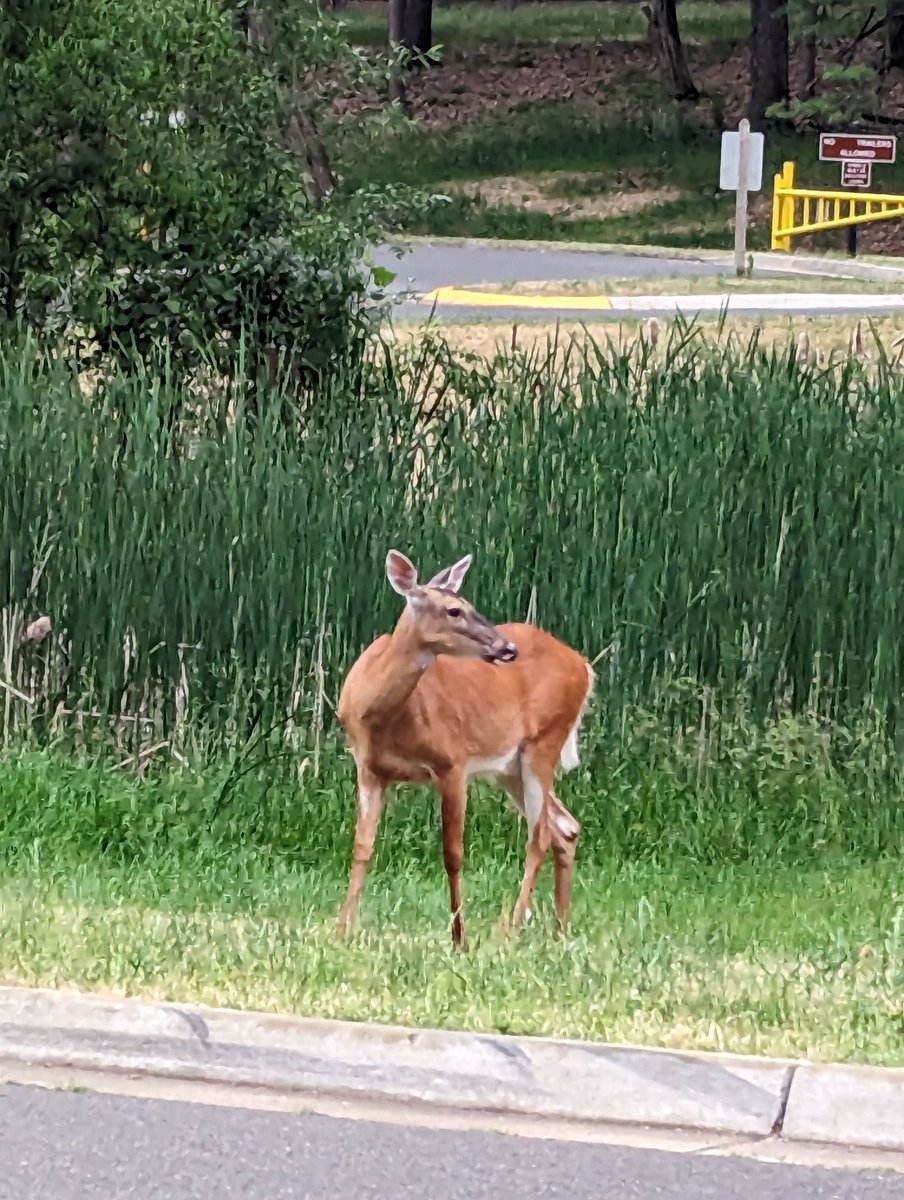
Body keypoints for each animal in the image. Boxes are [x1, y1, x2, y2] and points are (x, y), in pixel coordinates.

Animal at [336, 549, 595, 950]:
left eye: (469, 604)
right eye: (454, 610)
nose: (507, 648)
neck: (379, 716)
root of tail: (583, 665)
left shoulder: (452, 762)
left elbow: (452, 854)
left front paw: (459, 938)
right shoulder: (368, 768)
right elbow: (362, 846)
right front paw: (342, 931)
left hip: (544, 740)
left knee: (538, 835)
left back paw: (513, 928)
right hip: (510, 767)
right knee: (564, 826)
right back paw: (560, 930)